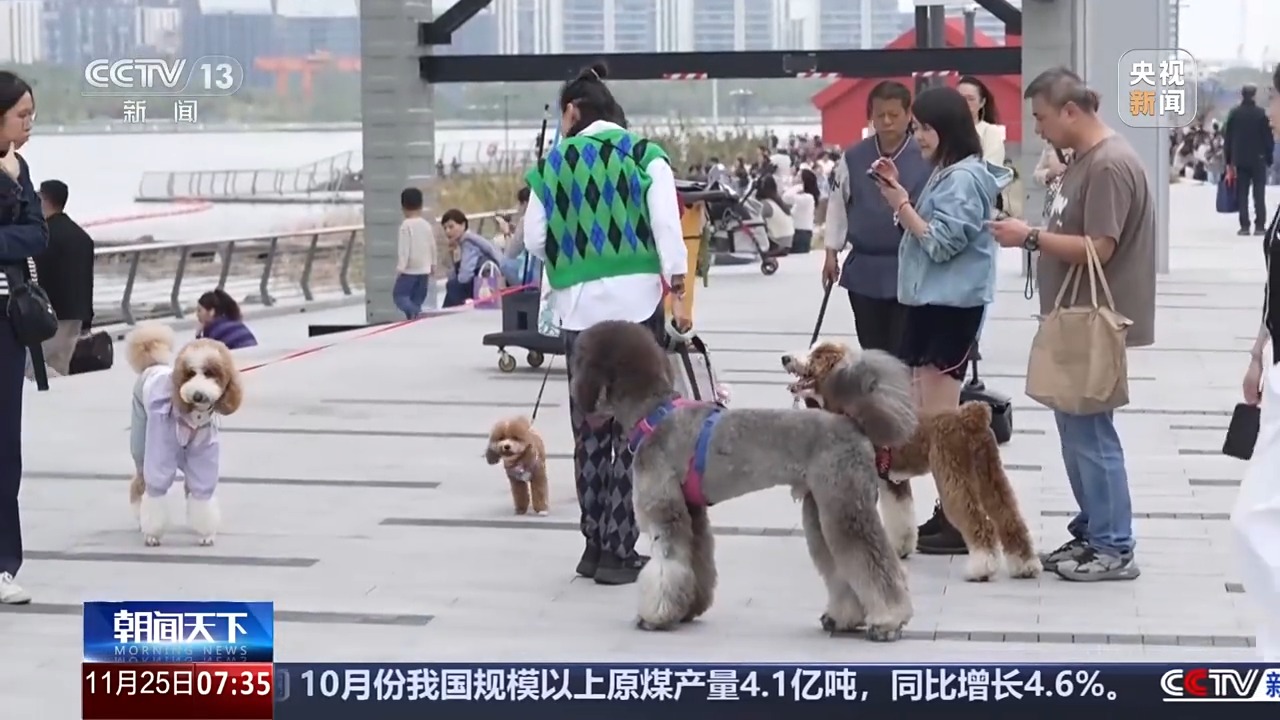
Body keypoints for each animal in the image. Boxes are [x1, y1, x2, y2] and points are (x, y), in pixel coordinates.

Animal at [127, 323, 243, 547]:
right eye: (190, 373)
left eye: (210, 373)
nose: (197, 395)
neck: (192, 415)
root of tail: (152, 366)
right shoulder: (159, 454)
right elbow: (156, 489)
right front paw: (153, 534)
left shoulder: (203, 455)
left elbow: (201, 492)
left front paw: (206, 533)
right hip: (141, 442)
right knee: (139, 482)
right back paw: (138, 516)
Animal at [570, 320, 917, 641]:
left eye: (582, 357)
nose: (575, 391)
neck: (653, 414)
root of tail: (854, 424)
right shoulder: (692, 511)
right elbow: (695, 562)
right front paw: (688, 609)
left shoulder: (665, 509)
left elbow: (668, 564)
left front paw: (656, 616)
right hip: (822, 507)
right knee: (842, 565)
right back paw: (844, 618)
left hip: (844, 501)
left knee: (874, 562)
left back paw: (889, 620)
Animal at [783, 340, 1039, 581]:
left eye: (817, 355)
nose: (785, 358)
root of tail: (971, 417)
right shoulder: (892, 481)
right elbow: (901, 515)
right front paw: (900, 549)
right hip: (989, 472)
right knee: (1010, 518)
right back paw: (1025, 565)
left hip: (953, 472)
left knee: (981, 523)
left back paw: (981, 569)